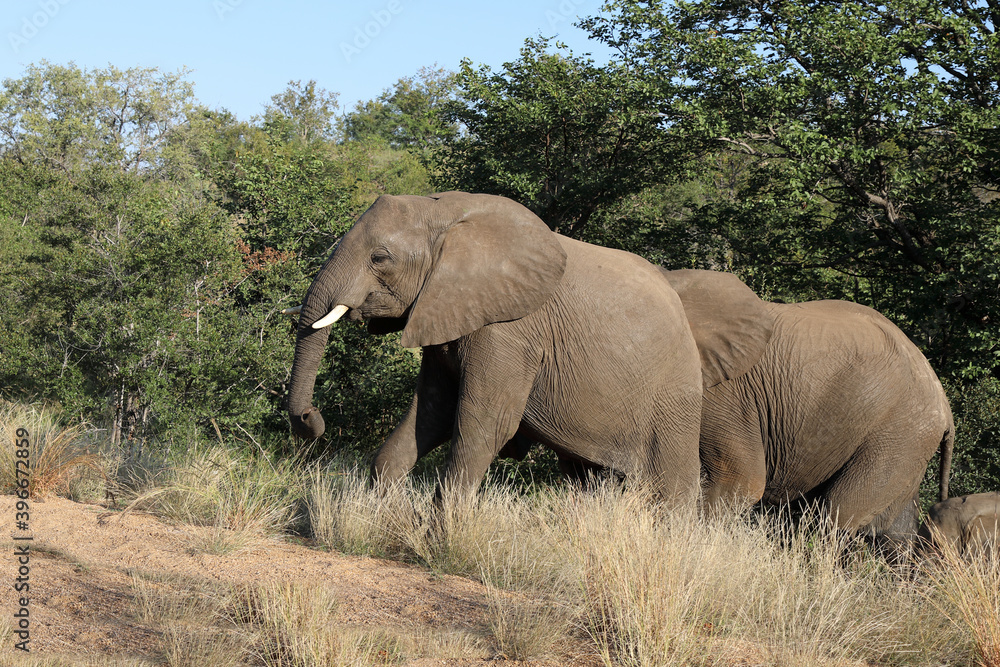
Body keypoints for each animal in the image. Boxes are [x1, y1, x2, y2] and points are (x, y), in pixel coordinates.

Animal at [285, 192, 776, 501]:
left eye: (379, 258)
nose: (313, 420)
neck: (444, 213)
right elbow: (431, 414)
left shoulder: (510, 331)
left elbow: (484, 425)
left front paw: (440, 540)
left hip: (675, 395)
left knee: (672, 489)